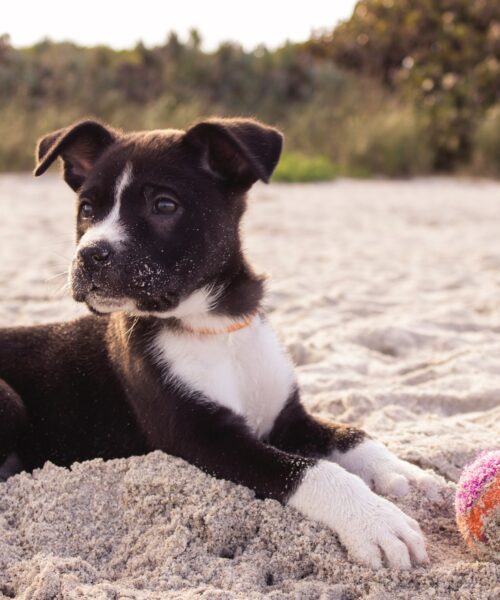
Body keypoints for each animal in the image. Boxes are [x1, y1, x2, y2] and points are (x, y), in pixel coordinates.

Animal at [0, 119, 444, 568]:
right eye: (87, 209)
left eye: (164, 205)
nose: (90, 254)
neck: (214, 325)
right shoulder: (205, 437)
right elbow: (312, 470)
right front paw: (375, 521)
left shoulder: (287, 416)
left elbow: (352, 434)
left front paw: (404, 472)